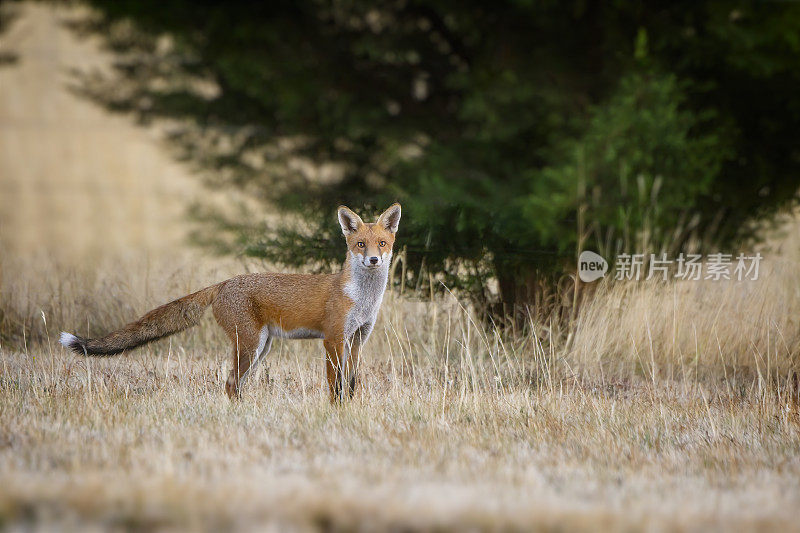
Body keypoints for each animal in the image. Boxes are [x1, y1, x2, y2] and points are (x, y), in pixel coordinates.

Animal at [57, 203, 400, 400]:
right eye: (360, 244)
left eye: (382, 243)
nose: (373, 260)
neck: (362, 298)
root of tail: (224, 283)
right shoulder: (332, 338)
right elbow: (334, 385)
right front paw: (333, 412)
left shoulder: (357, 339)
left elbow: (351, 383)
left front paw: (349, 410)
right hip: (250, 344)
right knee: (230, 384)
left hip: (260, 348)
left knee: (236, 385)